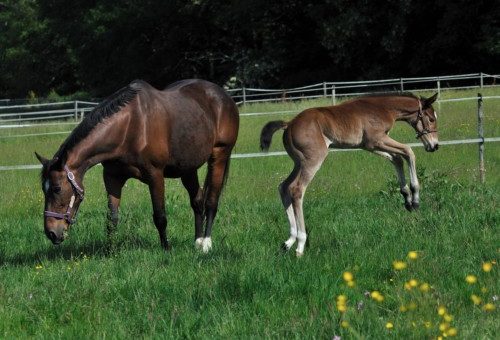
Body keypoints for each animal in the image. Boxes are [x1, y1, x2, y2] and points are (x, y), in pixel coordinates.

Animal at [35, 78, 238, 251]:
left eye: (57, 188)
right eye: (44, 189)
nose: (52, 233)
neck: (130, 127)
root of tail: (224, 96)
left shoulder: (155, 175)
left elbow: (160, 216)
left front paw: (166, 248)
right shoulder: (112, 178)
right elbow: (112, 218)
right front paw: (111, 251)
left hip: (219, 155)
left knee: (211, 201)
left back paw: (206, 244)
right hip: (188, 168)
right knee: (197, 201)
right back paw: (197, 241)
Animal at [260, 92, 440, 255]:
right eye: (431, 119)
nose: (434, 145)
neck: (383, 108)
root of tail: (289, 123)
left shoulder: (370, 145)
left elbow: (397, 159)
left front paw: (407, 199)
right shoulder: (376, 140)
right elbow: (409, 152)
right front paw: (415, 199)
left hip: (299, 163)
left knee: (283, 186)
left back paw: (289, 241)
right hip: (313, 160)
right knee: (296, 189)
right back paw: (300, 244)